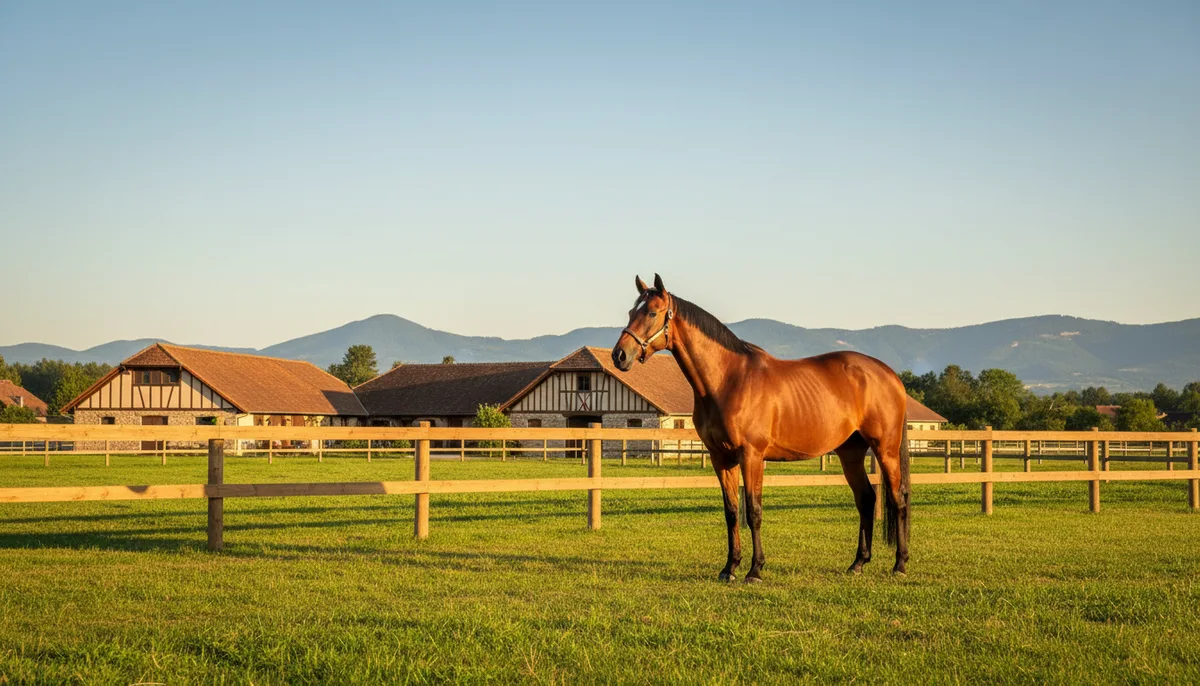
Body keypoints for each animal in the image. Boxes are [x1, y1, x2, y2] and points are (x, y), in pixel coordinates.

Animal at [612, 274, 911, 581]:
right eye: (631, 312)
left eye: (652, 313)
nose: (620, 355)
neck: (728, 380)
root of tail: (890, 376)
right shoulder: (721, 458)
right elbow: (732, 511)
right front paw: (730, 567)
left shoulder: (751, 456)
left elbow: (753, 510)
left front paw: (755, 569)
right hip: (850, 453)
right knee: (866, 498)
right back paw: (858, 563)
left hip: (885, 450)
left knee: (898, 499)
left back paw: (899, 564)